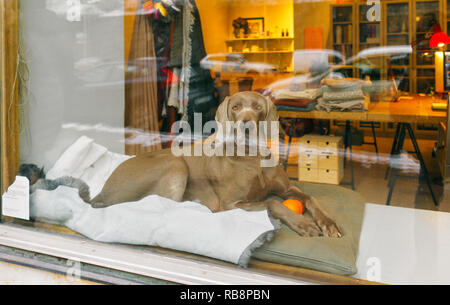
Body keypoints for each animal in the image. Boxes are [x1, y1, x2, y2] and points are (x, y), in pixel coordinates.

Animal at [92, 91, 344, 238]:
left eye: (258, 107)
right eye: (235, 107)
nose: (246, 125)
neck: (253, 157)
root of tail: (102, 190)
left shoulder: (286, 188)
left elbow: (311, 198)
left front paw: (328, 222)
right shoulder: (230, 204)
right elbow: (272, 204)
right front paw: (303, 223)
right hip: (175, 164)